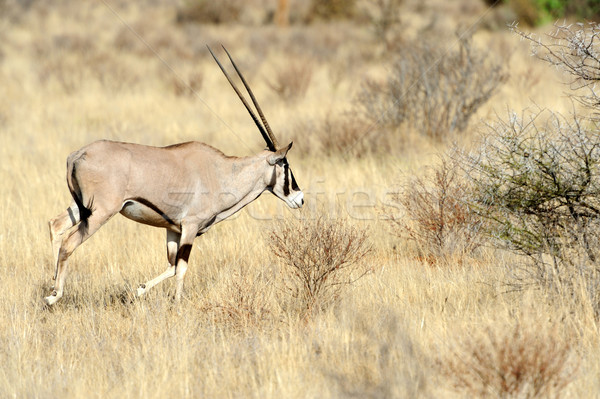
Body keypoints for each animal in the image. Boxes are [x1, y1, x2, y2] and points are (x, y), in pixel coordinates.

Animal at [45, 46, 304, 306]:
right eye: (285, 164)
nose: (300, 198)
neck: (223, 172)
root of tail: (77, 154)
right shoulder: (190, 226)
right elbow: (181, 268)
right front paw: (177, 304)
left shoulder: (173, 229)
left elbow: (171, 265)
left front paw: (139, 290)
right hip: (101, 212)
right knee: (68, 243)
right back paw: (55, 295)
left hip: (82, 207)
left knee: (56, 225)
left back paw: (51, 281)